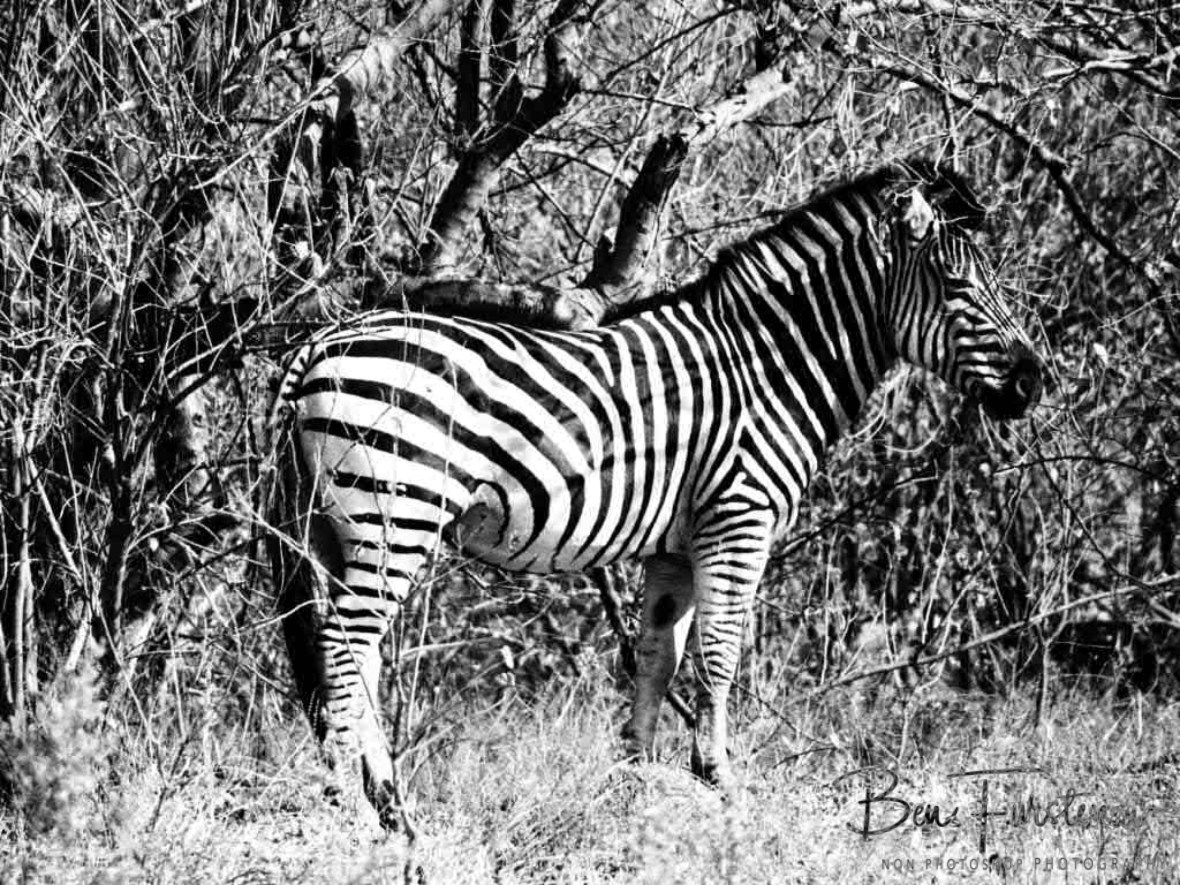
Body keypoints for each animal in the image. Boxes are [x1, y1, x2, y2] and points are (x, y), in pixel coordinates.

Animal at [268, 159, 1041, 824]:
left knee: (356, 652)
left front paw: (634, 778)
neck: (767, 365)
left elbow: (656, 656)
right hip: (393, 515)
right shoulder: (738, 519)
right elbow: (721, 651)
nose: (1035, 382)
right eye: (961, 288)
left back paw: (391, 805)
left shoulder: (675, 545)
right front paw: (720, 779)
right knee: (344, 644)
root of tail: (318, 343)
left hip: (335, 528)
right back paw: (352, 805)